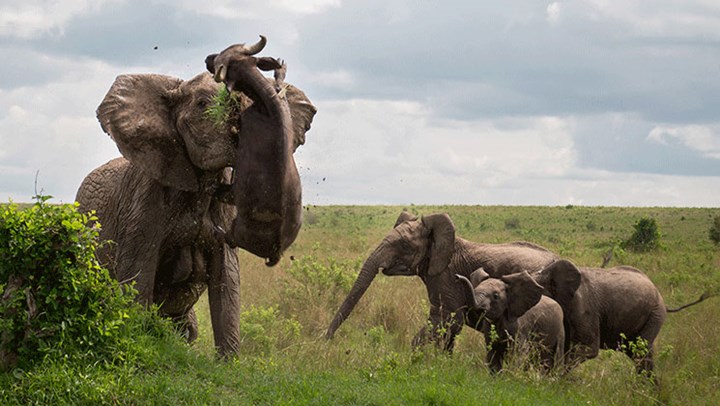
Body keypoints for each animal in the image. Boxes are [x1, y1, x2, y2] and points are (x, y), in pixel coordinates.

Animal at [74, 36, 318, 356]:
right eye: (203, 105)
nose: (215, 59)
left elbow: (227, 280)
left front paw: (229, 362)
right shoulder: (143, 204)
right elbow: (136, 276)